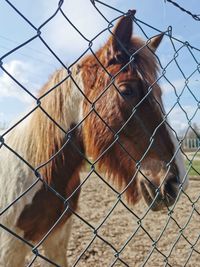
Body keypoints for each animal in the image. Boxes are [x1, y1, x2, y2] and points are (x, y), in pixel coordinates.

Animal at [0, 11, 188, 267]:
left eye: (159, 94)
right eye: (126, 90)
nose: (177, 182)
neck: (39, 173)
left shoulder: (56, 239)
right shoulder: (9, 249)